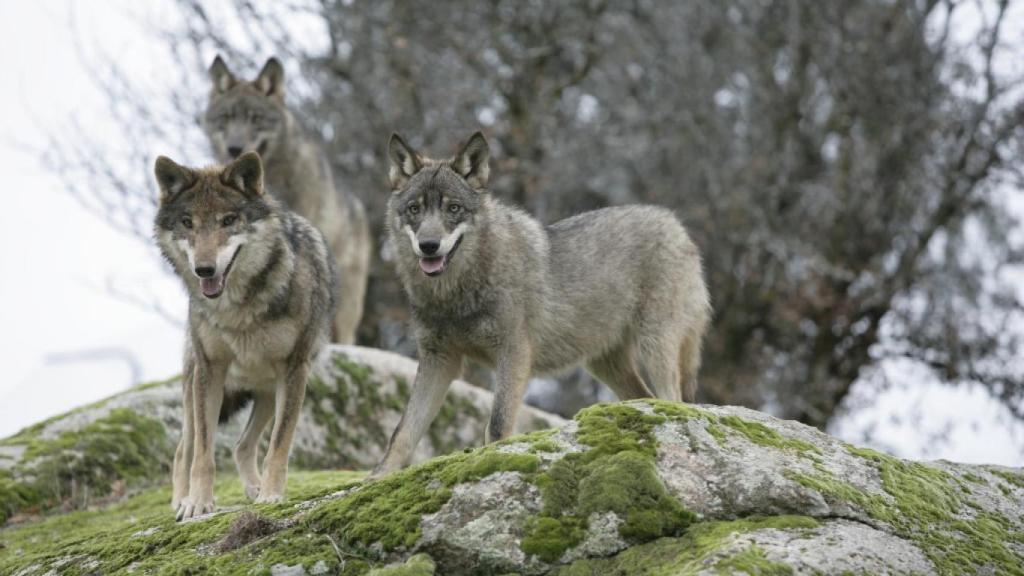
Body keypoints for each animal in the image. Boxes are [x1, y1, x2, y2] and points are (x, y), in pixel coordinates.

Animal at [153, 150, 335, 518]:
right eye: (187, 222)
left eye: (228, 220)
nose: (204, 270)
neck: (237, 309)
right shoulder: (210, 371)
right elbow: (204, 452)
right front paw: (198, 503)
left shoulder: (295, 370)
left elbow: (279, 444)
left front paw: (271, 495)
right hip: (194, 388)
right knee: (183, 450)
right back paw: (181, 499)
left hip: (268, 391)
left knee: (242, 445)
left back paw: (254, 488)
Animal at [376, 132, 712, 473]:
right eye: (414, 209)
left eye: (453, 208)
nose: (429, 246)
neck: (454, 294)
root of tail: (676, 224)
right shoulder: (438, 360)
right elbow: (402, 433)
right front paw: (378, 477)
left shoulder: (513, 353)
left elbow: (497, 425)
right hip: (606, 364)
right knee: (646, 398)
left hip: (655, 347)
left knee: (673, 400)